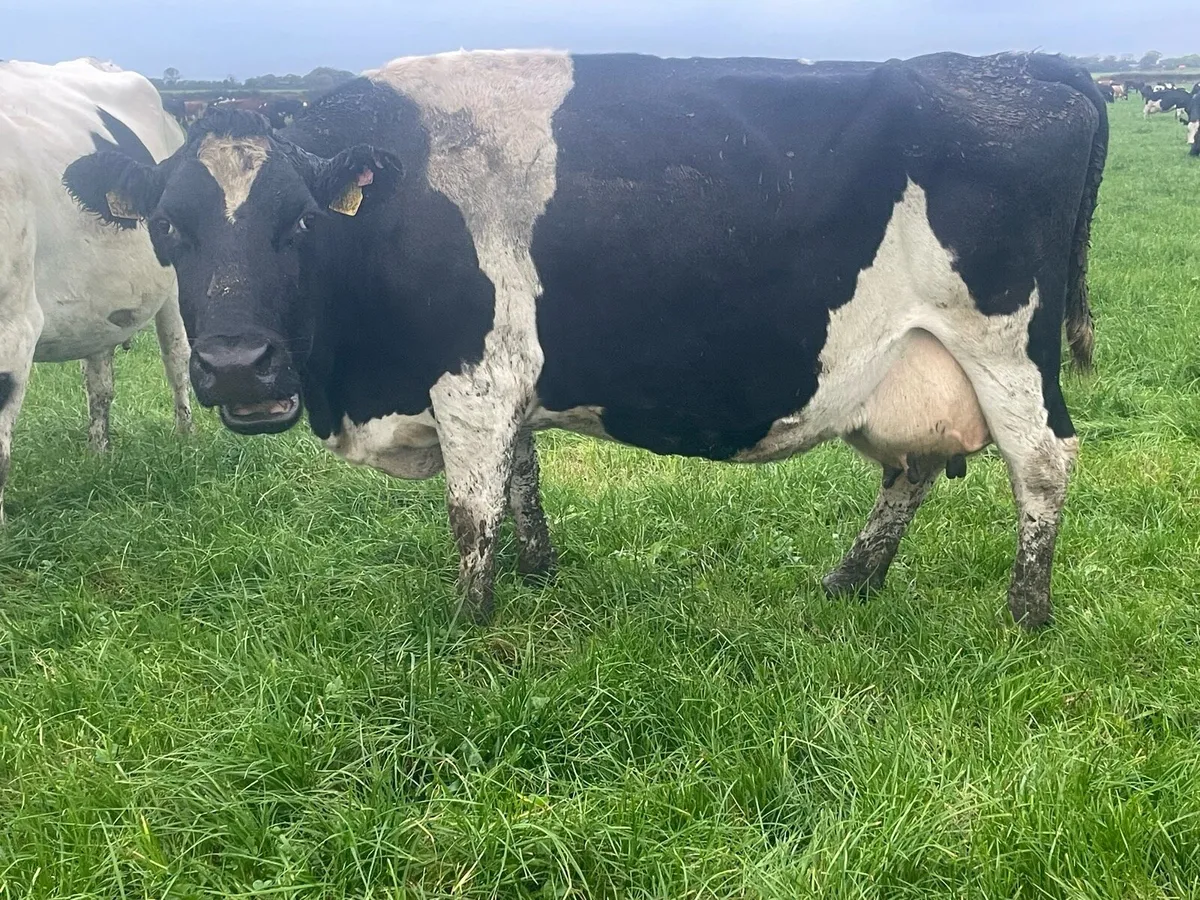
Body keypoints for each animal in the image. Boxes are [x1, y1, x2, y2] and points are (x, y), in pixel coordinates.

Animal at [0, 58, 193, 522]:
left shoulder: (13, 328)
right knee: (100, 381)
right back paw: (99, 453)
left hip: (175, 282)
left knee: (177, 356)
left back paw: (186, 436)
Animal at [64, 50, 1107, 629]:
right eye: (170, 227)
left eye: (298, 224)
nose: (236, 366)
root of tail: (1013, 64)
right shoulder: (506, 384)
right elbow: (522, 477)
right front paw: (540, 575)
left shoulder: (473, 377)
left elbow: (471, 512)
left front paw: (470, 625)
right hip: (905, 355)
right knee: (915, 464)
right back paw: (851, 579)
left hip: (1003, 344)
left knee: (1043, 462)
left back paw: (1026, 614)